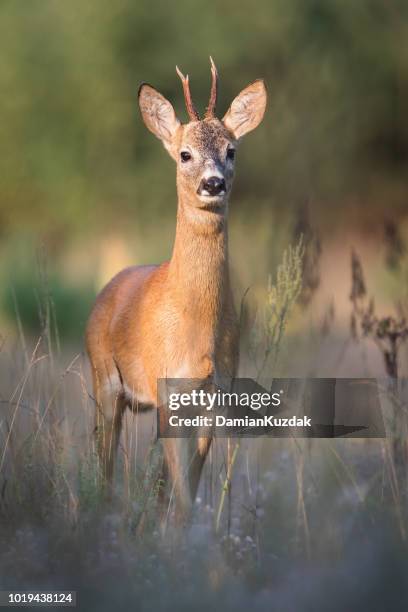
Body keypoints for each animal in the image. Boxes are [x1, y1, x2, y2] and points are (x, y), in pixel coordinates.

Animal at [86, 58, 268, 520]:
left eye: (231, 150)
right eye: (185, 154)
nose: (213, 183)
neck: (196, 326)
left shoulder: (214, 396)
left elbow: (185, 490)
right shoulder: (170, 392)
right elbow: (182, 493)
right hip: (103, 378)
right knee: (104, 465)